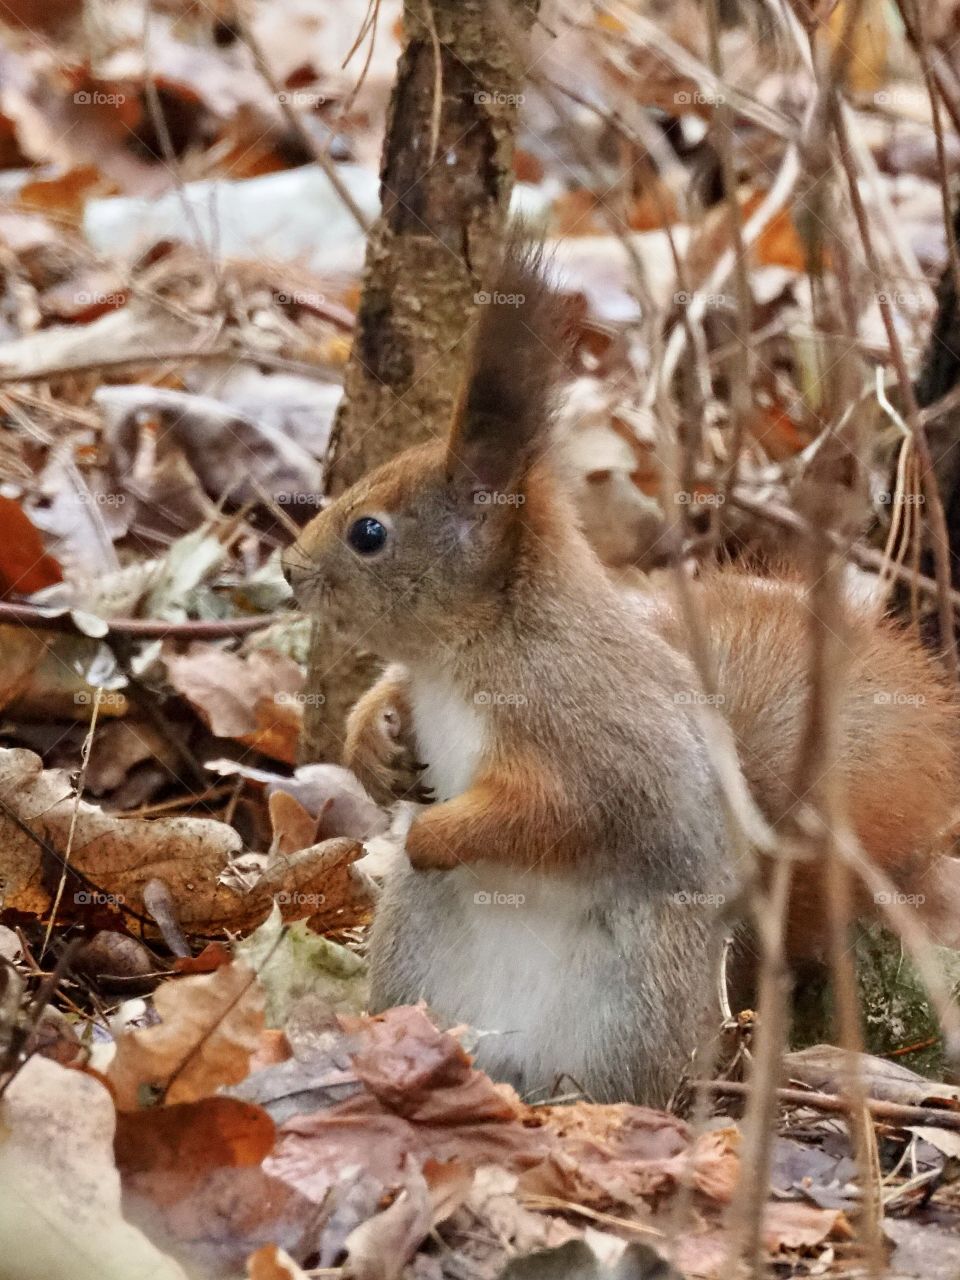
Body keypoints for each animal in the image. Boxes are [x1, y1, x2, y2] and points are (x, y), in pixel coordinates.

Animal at [283, 244, 959, 1105]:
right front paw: (374, 743)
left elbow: (562, 812)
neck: (473, 649)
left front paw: (436, 832)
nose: (289, 569)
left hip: (631, 1005)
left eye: (369, 534)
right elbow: (389, 696)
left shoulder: (586, 725)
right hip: (416, 955)